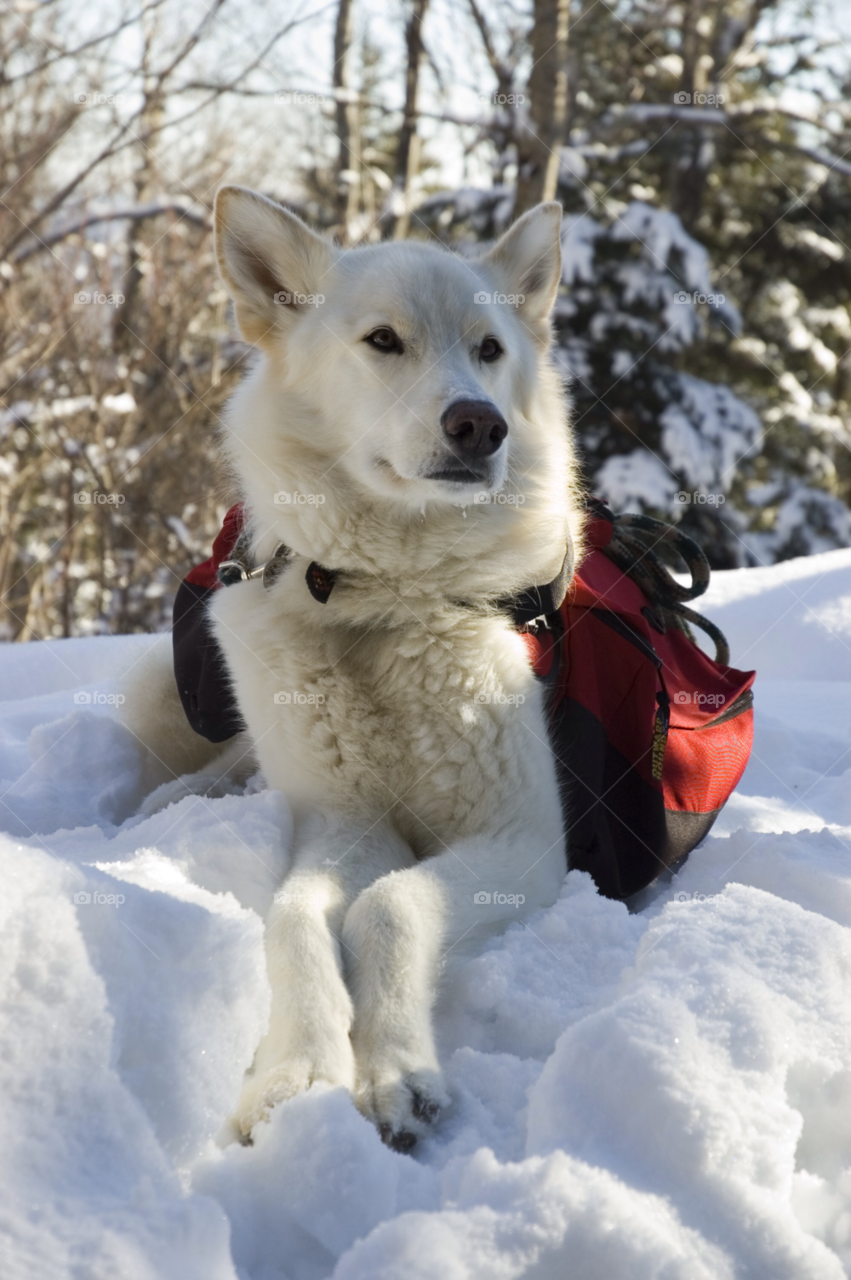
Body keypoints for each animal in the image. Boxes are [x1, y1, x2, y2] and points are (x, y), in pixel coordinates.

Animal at [120, 186, 583, 1152]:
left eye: (489, 351)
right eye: (382, 341)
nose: (478, 424)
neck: (383, 605)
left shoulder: (523, 841)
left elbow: (390, 907)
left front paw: (397, 1070)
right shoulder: (344, 818)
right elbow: (296, 916)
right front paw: (297, 1072)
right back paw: (175, 801)